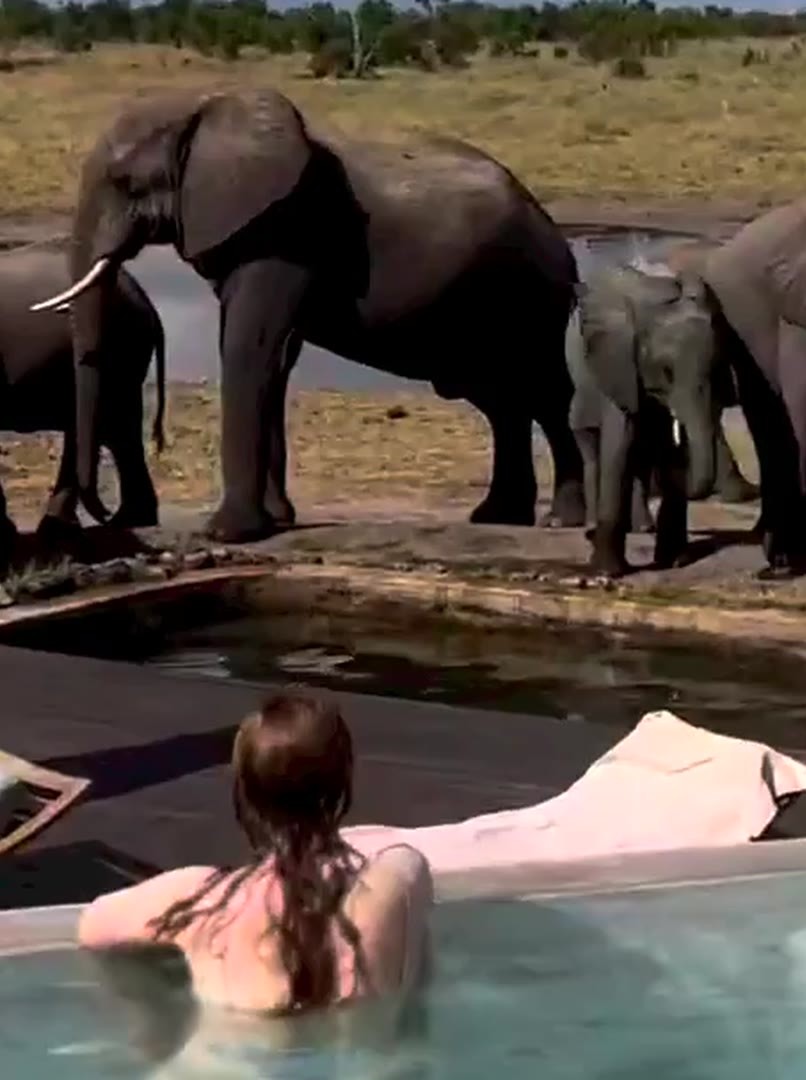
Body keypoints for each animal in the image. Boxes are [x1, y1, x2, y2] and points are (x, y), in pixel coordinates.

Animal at [31, 88, 586, 544]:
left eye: (125, 183)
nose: (103, 516)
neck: (203, 106)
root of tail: (558, 234)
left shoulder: (284, 233)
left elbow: (249, 345)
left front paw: (228, 534)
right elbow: (276, 359)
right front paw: (278, 520)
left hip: (532, 295)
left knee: (544, 394)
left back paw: (559, 521)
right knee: (502, 401)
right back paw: (498, 516)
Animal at [567, 259, 722, 576]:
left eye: (715, 367)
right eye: (666, 370)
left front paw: (674, 562)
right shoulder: (618, 363)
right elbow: (619, 444)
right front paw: (607, 572)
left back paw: (640, 528)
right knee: (596, 451)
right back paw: (593, 533)